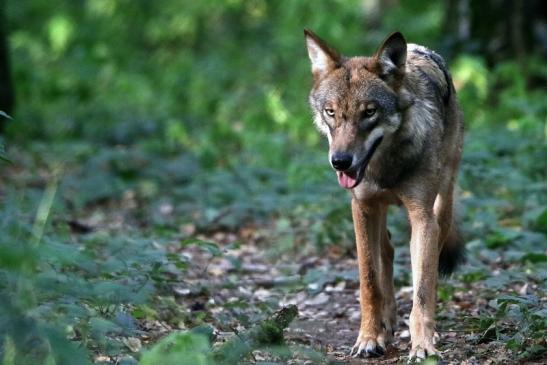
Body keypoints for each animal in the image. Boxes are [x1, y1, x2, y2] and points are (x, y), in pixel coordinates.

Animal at [304, 29, 466, 360]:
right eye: (331, 112)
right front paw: (368, 338)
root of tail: (419, 48)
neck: (385, 167)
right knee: (387, 251)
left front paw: (423, 345)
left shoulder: (422, 217)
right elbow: (369, 283)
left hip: (442, 209)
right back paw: (385, 326)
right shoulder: (362, 208)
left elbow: (422, 289)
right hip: (376, 213)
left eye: (370, 112)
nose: (340, 161)